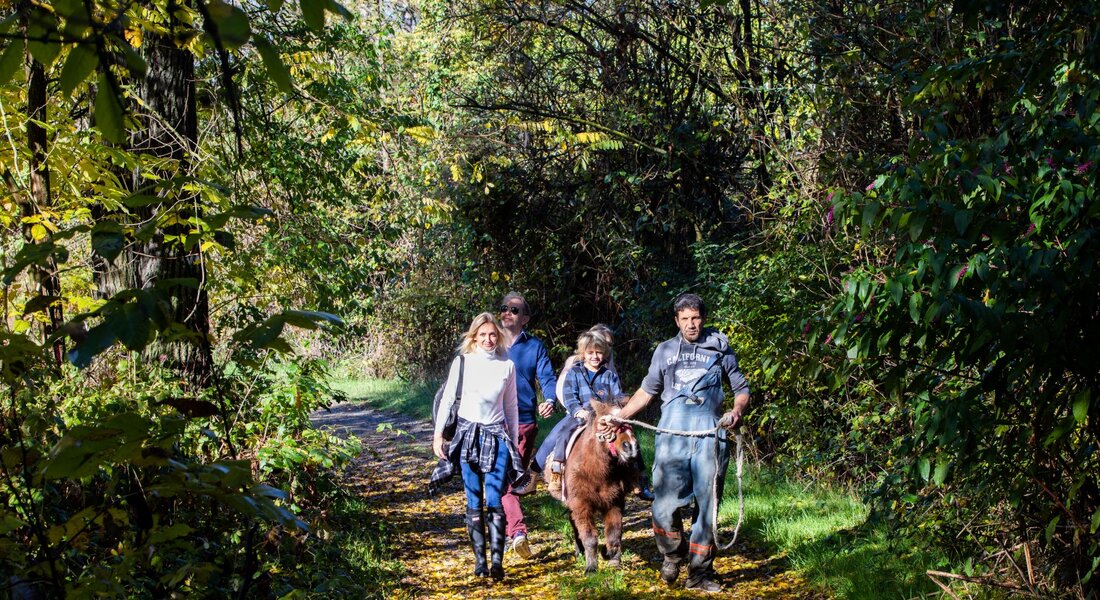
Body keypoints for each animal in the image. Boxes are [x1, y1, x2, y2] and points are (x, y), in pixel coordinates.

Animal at [563, 398, 642, 572]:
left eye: (629, 422)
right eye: (604, 424)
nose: (631, 447)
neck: (595, 472)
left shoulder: (614, 502)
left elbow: (614, 534)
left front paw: (612, 558)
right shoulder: (581, 505)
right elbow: (589, 537)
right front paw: (591, 567)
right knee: (573, 524)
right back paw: (579, 551)